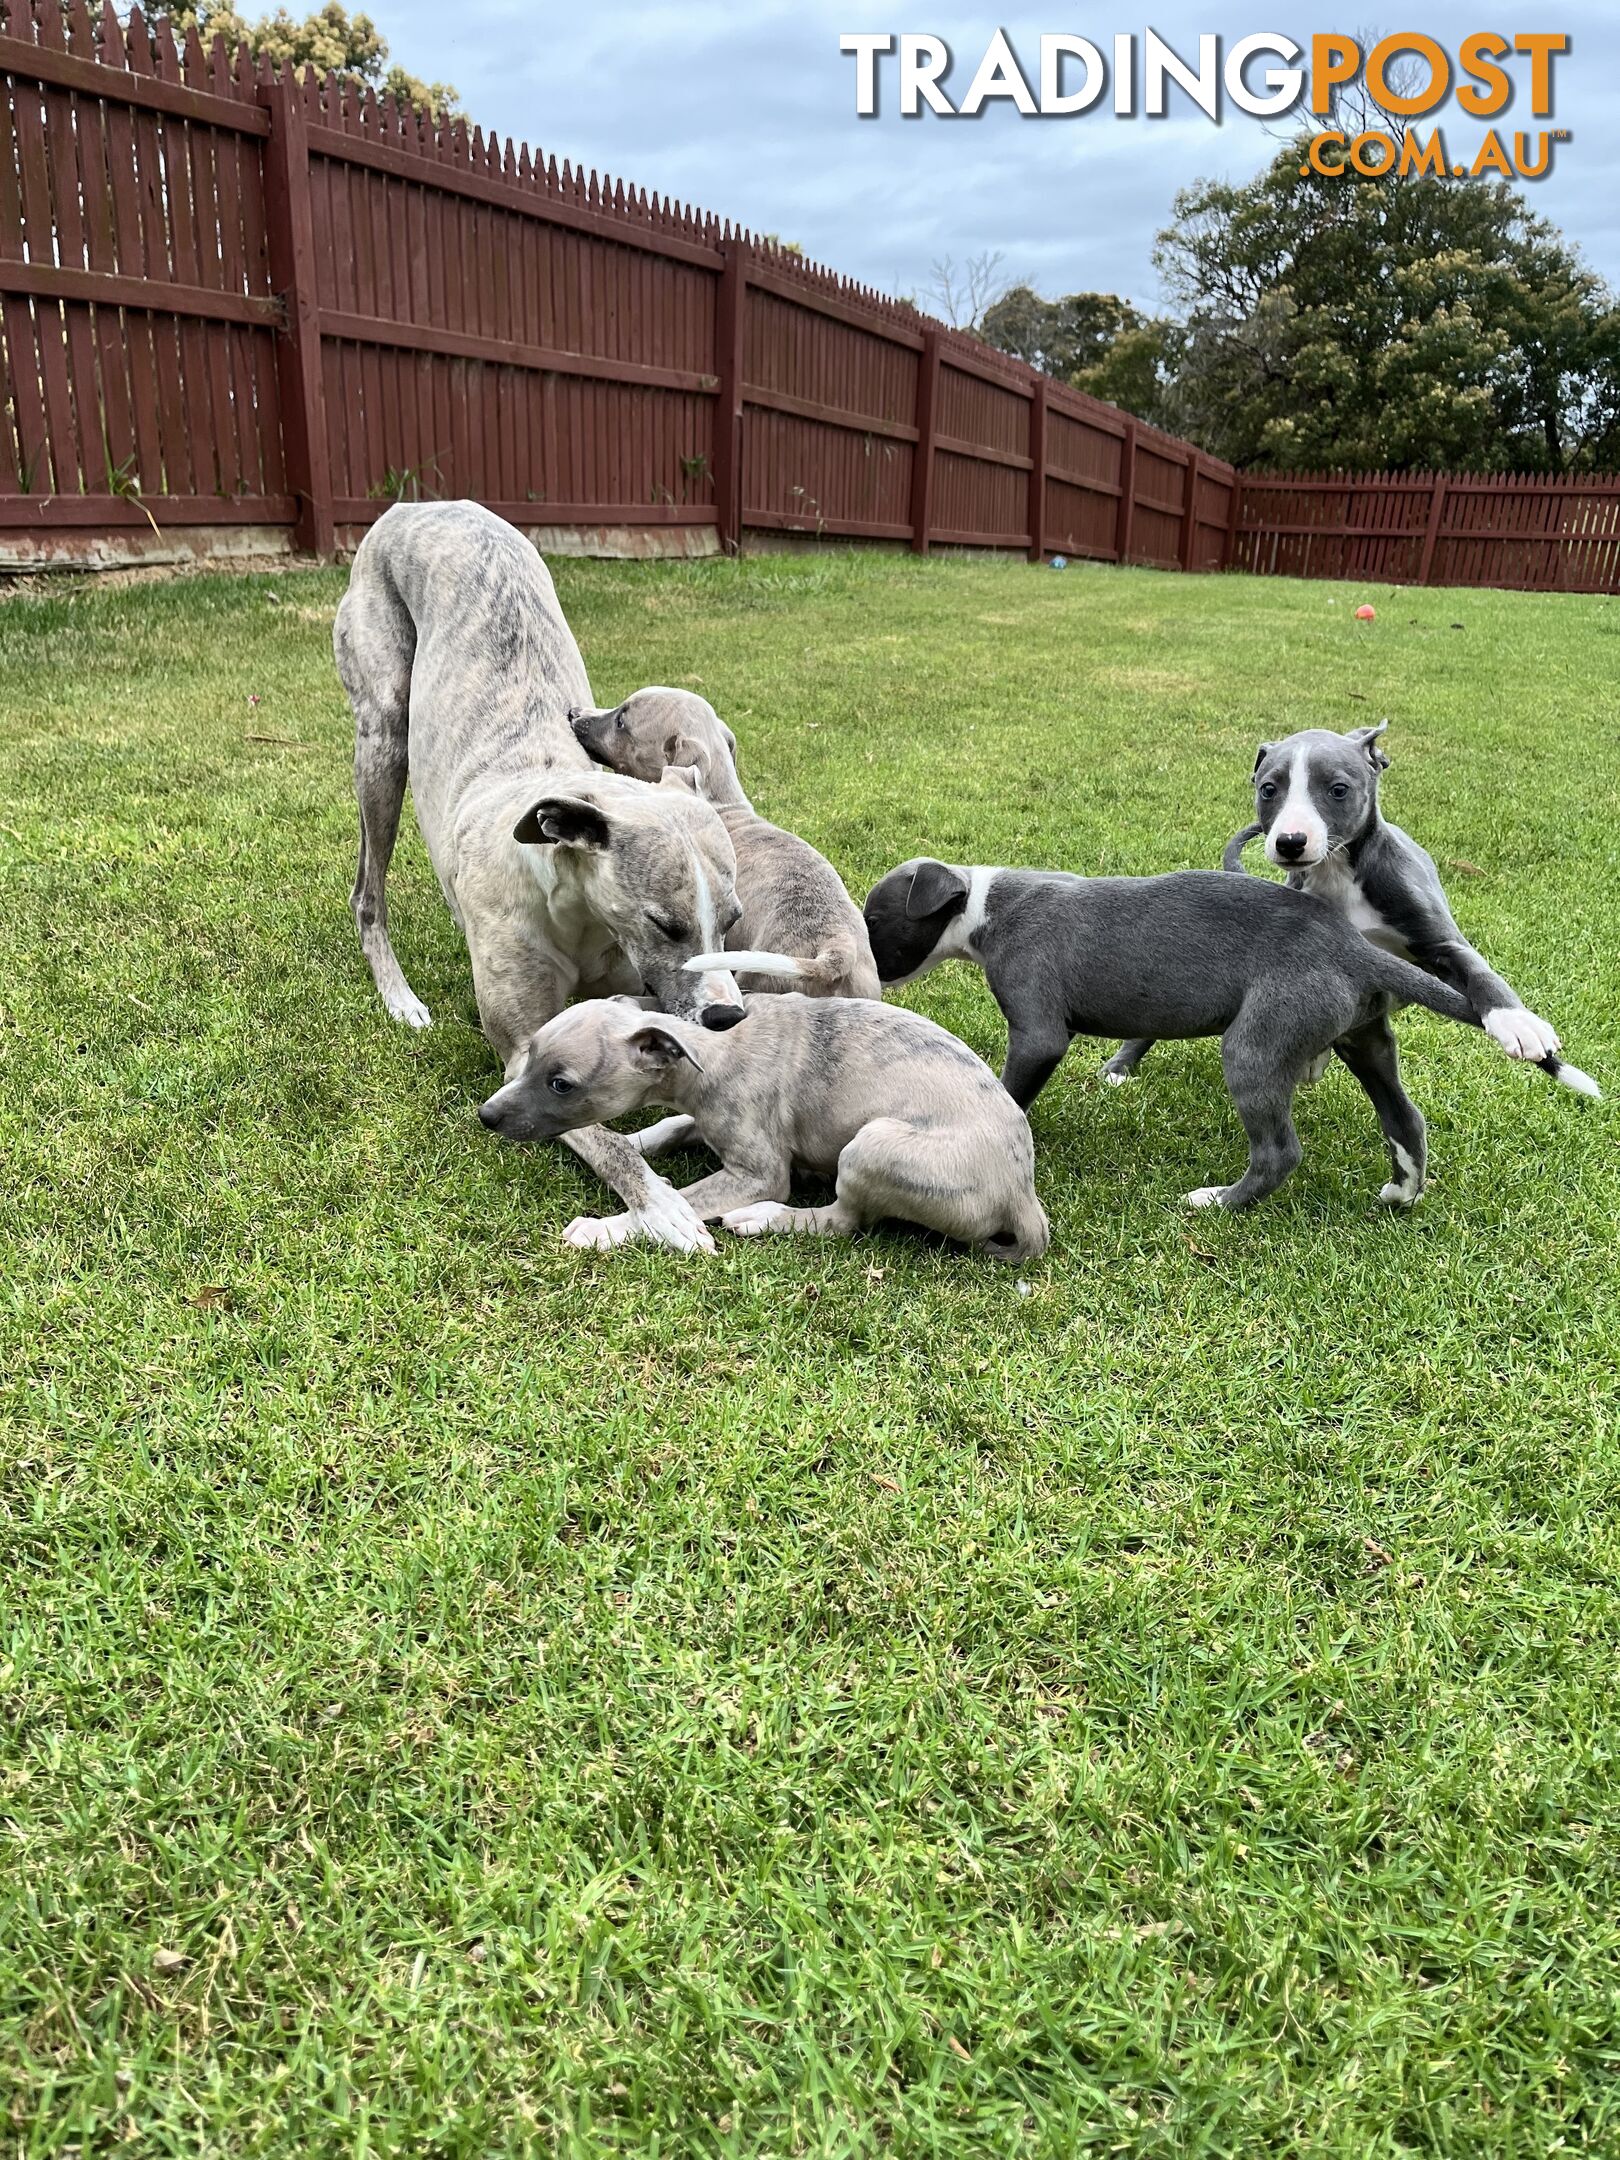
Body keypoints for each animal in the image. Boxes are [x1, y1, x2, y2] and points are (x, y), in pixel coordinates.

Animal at [336, 498, 756, 1261]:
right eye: (666, 923)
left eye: (734, 922)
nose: (726, 1017)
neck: (576, 913)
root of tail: (418, 504)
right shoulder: (521, 1053)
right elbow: (594, 1131)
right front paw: (660, 1204)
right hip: (381, 742)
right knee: (366, 892)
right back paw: (400, 998)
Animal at [479, 989, 1054, 1261]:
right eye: (528, 1055)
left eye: (561, 1084)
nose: (486, 1116)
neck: (710, 1050)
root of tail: (1022, 1196)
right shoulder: (706, 1117)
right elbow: (670, 1128)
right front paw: (632, 1146)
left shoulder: (759, 1172)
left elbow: (685, 1200)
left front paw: (610, 1227)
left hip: (871, 1146)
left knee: (842, 1221)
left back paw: (763, 1218)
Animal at [876, 851, 1520, 1209]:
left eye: (877, 918)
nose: (872, 977)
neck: (983, 903)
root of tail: (1354, 949)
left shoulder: (1038, 1032)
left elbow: (1014, 1088)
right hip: (1363, 1039)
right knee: (1405, 1118)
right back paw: (1401, 1192)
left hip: (1256, 1045)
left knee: (1279, 1152)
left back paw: (1218, 1202)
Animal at [1105, 721, 1598, 1097]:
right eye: (1269, 789)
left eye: (1338, 789)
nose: (1290, 841)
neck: (1339, 873)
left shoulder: (1440, 941)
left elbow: (1480, 972)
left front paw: (1519, 1023)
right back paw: (1120, 1065)